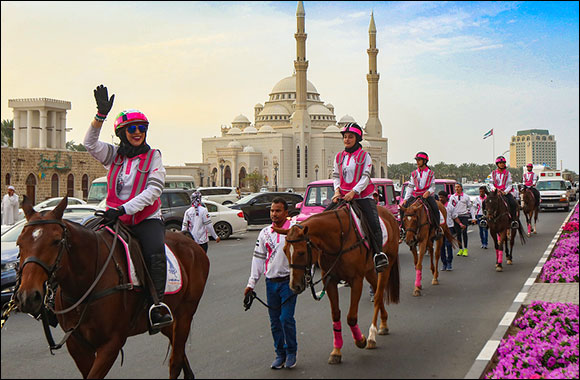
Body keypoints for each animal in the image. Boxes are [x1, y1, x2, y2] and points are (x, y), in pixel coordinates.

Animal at [14, 197, 211, 378]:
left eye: (56, 241)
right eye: (19, 243)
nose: (27, 297)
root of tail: (190, 241)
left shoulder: (111, 344)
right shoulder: (77, 346)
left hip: (185, 313)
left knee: (175, 361)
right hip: (169, 319)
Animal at [274, 203, 398, 364]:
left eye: (301, 252)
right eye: (284, 251)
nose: (294, 286)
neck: (338, 239)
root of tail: (390, 215)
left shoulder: (356, 280)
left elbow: (351, 317)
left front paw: (360, 340)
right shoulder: (330, 280)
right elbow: (335, 315)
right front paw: (336, 351)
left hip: (386, 267)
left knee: (377, 296)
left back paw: (372, 336)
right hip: (370, 271)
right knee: (378, 291)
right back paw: (383, 324)